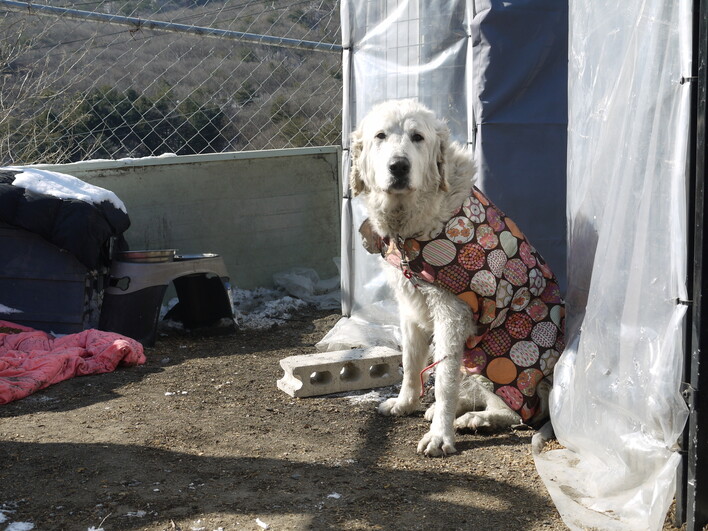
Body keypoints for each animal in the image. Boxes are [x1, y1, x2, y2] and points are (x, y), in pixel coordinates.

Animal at [352, 100, 564, 458]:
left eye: (417, 137)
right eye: (381, 136)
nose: (398, 166)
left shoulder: (451, 314)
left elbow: (444, 381)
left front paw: (440, 436)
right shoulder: (410, 304)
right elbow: (411, 362)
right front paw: (405, 403)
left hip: (492, 355)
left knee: (516, 413)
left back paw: (474, 419)